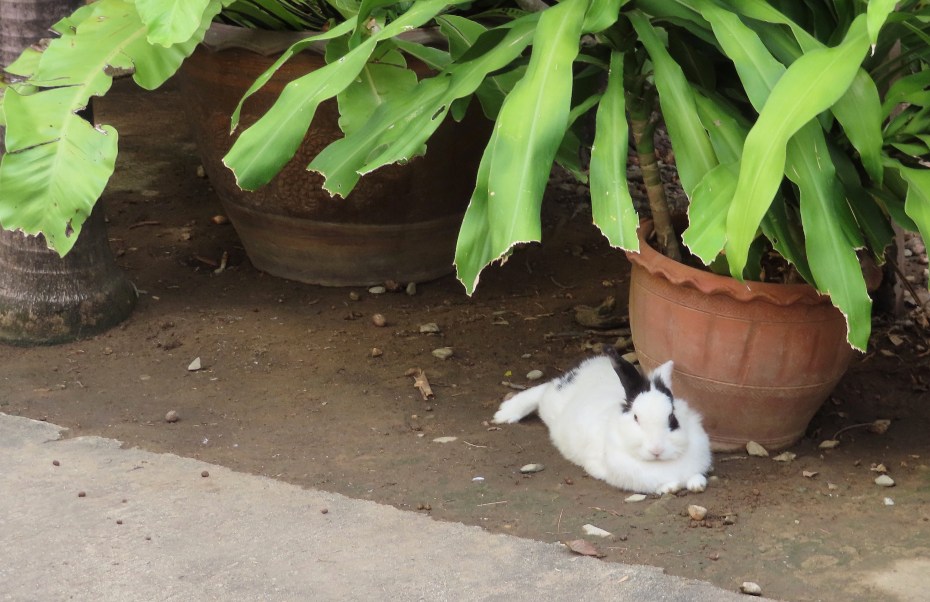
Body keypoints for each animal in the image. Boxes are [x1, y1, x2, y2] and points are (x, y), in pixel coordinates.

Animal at [493, 350, 712, 495]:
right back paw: (506, 412)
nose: (656, 449)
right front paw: (670, 486)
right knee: (543, 389)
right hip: (551, 402)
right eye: (636, 418)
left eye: (672, 418)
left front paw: (696, 483)